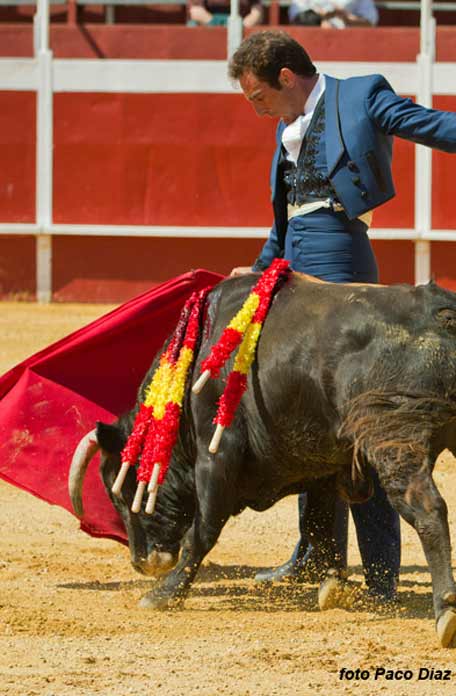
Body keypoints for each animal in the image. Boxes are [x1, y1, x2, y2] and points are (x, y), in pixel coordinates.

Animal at [67, 272, 456, 648]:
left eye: (119, 491)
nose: (141, 563)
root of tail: (442, 313)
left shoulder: (216, 456)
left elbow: (203, 531)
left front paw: (164, 594)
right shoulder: (320, 464)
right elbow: (318, 523)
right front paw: (334, 584)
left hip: (395, 439)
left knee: (428, 510)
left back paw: (445, 611)